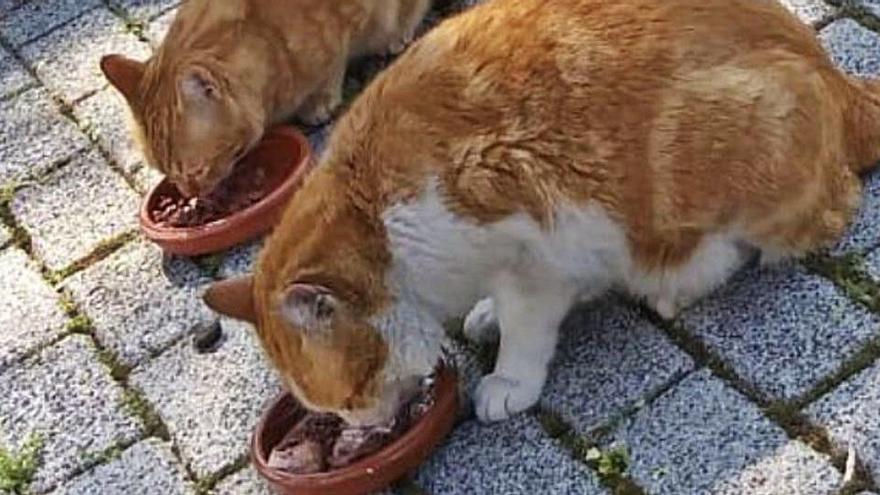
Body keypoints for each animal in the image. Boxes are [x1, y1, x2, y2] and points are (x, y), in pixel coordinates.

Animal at [99, 0, 430, 198]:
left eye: (196, 171)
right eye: (164, 172)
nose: (189, 194)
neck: (266, 38)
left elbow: (333, 65)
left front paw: (319, 101)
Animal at [201, 0, 880, 426]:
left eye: (349, 394)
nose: (364, 426)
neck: (379, 218)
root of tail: (831, 72)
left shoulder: (535, 253)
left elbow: (526, 328)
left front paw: (507, 378)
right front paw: (483, 315)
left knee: (793, 230)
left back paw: (677, 284)